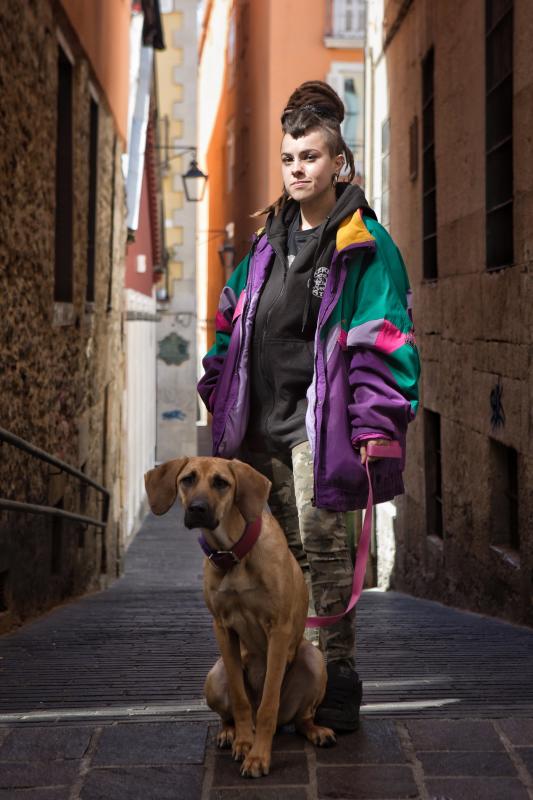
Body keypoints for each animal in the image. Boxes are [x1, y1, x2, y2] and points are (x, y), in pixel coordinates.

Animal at [143, 460, 334, 780]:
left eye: (221, 483)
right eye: (187, 479)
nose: (197, 508)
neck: (232, 552)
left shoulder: (278, 630)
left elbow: (268, 704)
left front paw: (259, 756)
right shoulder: (222, 628)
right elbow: (240, 697)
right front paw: (245, 743)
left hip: (314, 660)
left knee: (300, 718)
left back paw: (316, 731)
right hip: (214, 675)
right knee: (229, 712)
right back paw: (229, 732)